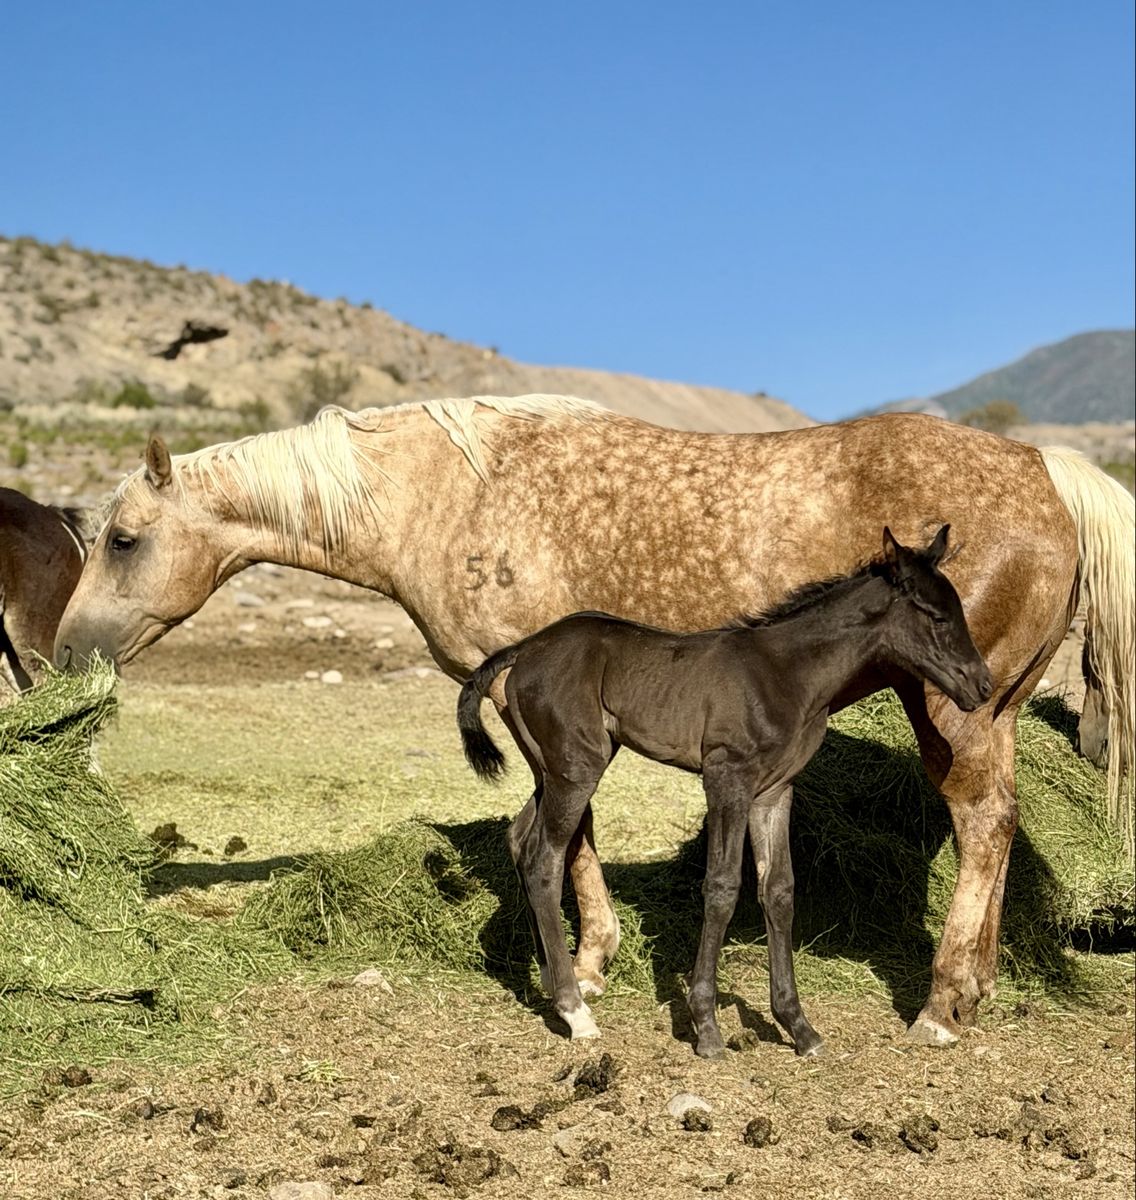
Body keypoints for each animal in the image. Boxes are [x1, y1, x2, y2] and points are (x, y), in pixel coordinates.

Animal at [457, 526, 993, 1056]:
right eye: (937, 616)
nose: (983, 686)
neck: (786, 672)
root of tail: (524, 649)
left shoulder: (774, 791)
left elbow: (778, 889)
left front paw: (798, 1027)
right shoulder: (726, 778)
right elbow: (721, 887)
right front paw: (706, 1027)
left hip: (555, 768)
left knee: (520, 839)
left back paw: (552, 982)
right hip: (577, 768)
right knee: (543, 860)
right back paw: (575, 1012)